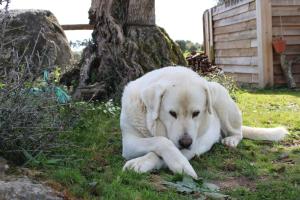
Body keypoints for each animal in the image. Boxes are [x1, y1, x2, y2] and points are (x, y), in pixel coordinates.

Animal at [120, 66, 288, 177]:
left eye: (196, 113)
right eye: (172, 113)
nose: (185, 142)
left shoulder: (193, 147)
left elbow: (162, 150)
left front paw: (180, 165)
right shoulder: (129, 143)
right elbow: (162, 141)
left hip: (221, 96)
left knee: (238, 131)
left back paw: (231, 140)